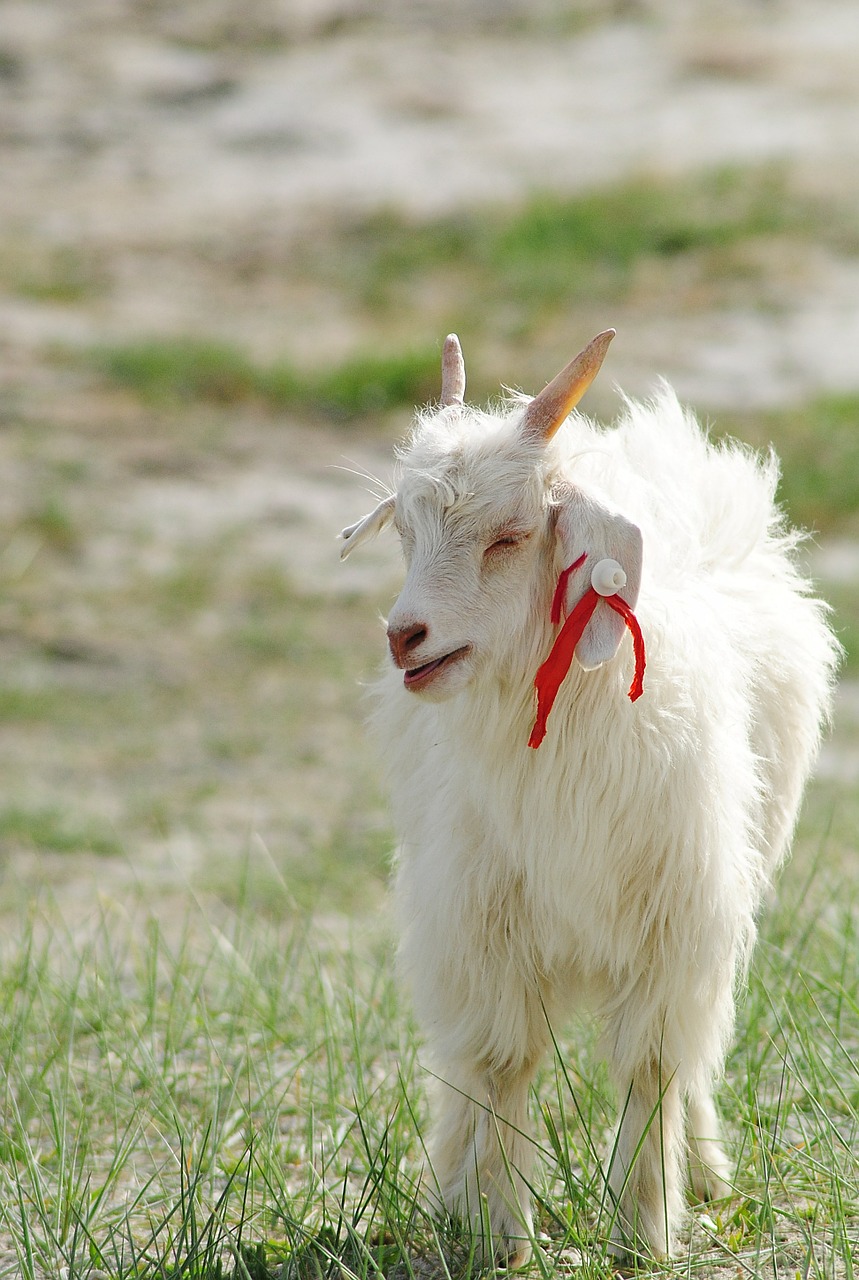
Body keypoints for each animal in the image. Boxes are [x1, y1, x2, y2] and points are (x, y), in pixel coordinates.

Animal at [340, 327, 834, 1259]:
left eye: (509, 535)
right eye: (406, 533)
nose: (405, 637)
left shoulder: (675, 922)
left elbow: (653, 1066)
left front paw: (642, 1228)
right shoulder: (482, 924)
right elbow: (498, 1066)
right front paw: (495, 1231)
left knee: (692, 1060)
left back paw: (703, 1170)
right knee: (461, 1068)